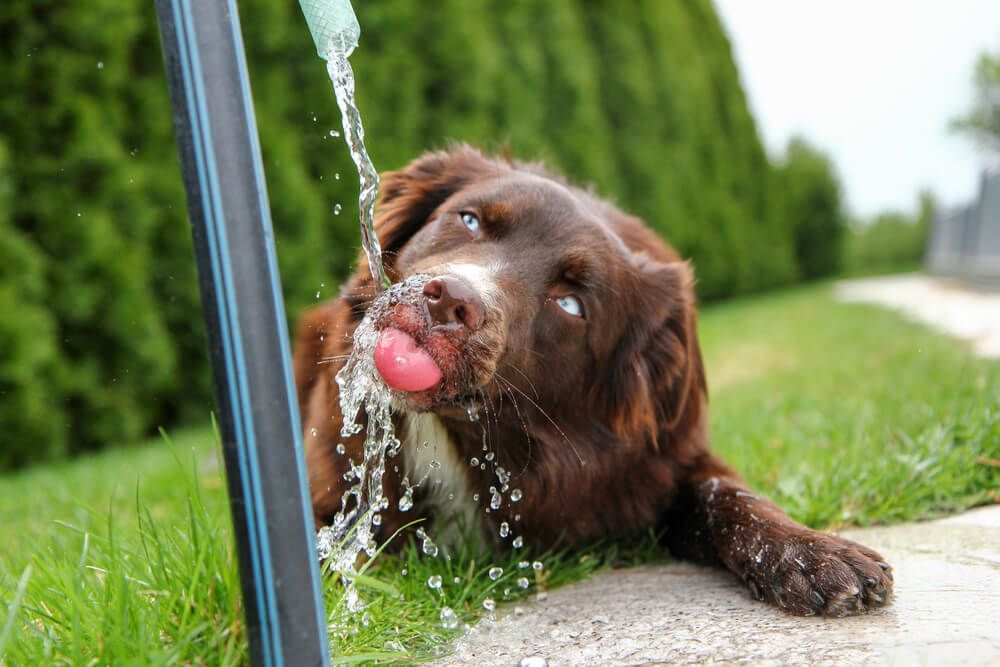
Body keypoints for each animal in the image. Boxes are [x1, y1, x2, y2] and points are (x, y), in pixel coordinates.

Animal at [292, 145, 896, 616]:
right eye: (469, 221)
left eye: (571, 304)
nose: (450, 302)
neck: (468, 438)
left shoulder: (662, 460)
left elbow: (730, 495)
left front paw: (813, 552)